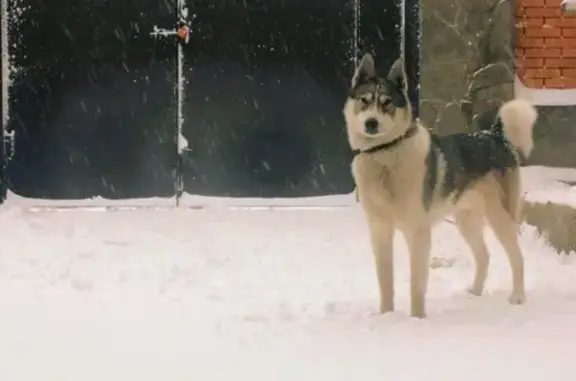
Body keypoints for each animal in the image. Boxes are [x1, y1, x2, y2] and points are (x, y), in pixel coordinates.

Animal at [346, 53, 540, 320]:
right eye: (364, 101)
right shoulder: (379, 230)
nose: (371, 123)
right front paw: (386, 316)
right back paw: (475, 293)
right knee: (484, 256)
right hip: (466, 221)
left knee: (517, 257)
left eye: (387, 103)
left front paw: (417, 319)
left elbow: (417, 283)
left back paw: (518, 297)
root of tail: (494, 135)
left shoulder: (417, 230)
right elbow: (385, 282)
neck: (384, 154)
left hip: (499, 216)